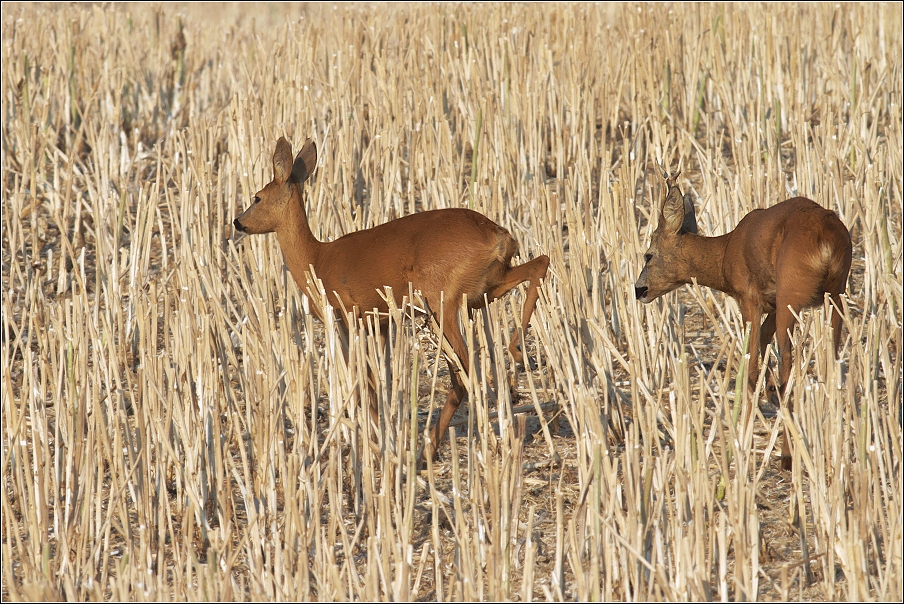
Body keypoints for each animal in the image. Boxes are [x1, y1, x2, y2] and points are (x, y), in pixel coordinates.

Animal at [233, 137, 552, 462]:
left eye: (257, 197)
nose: (237, 222)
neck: (316, 260)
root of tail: (499, 238)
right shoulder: (381, 320)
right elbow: (380, 380)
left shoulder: (346, 314)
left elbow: (361, 381)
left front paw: (376, 441)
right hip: (488, 287)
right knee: (540, 263)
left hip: (442, 299)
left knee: (466, 370)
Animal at [632, 172, 852, 470]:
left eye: (649, 254)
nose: (639, 290)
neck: (725, 251)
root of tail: (825, 238)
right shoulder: (770, 304)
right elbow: (762, 348)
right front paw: (768, 392)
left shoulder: (750, 298)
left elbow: (751, 366)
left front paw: (743, 438)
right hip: (835, 293)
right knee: (831, 360)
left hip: (791, 294)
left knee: (789, 366)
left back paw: (787, 455)